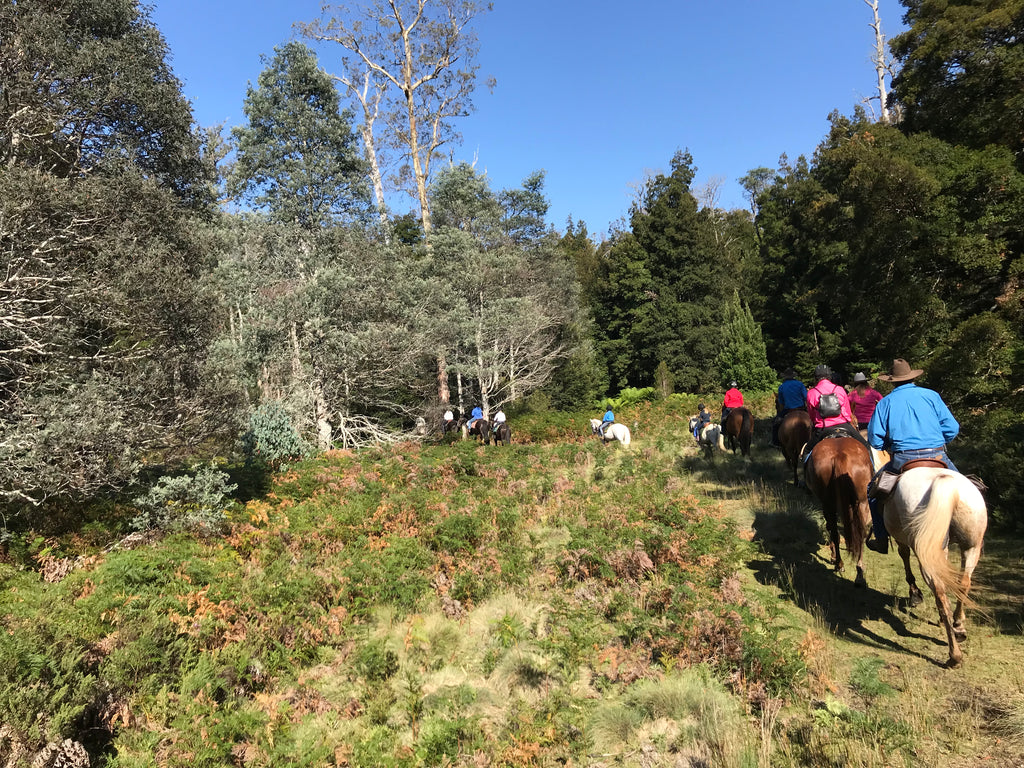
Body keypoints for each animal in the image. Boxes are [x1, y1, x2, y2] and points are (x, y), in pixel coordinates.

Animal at [802, 438, 876, 589]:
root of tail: (840, 456)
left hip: (830, 503)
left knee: (837, 532)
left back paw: (842, 564)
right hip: (860, 503)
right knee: (857, 533)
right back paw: (854, 570)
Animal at [884, 466, 987, 671]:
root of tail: (945, 482)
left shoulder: (902, 542)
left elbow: (904, 556)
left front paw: (915, 594)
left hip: (928, 556)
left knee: (940, 593)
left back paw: (954, 656)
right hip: (971, 547)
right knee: (963, 583)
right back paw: (958, 627)